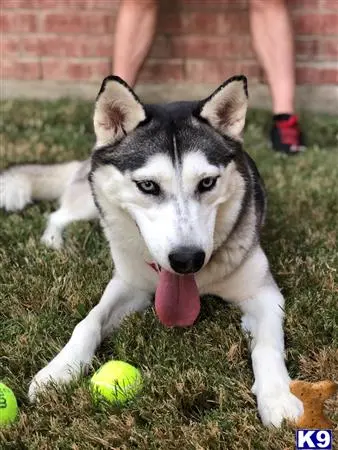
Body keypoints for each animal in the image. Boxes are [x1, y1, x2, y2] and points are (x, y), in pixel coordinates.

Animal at [0, 74, 304, 426]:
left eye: (207, 183)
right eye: (147, 186)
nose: (187, 259)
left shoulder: (263, 293)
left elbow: (267, 345)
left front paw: (277, 397)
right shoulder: (129, 284)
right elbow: (88, 321)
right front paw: (59, 369)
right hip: (89, 204)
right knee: (58, 215)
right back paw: (53, 243)